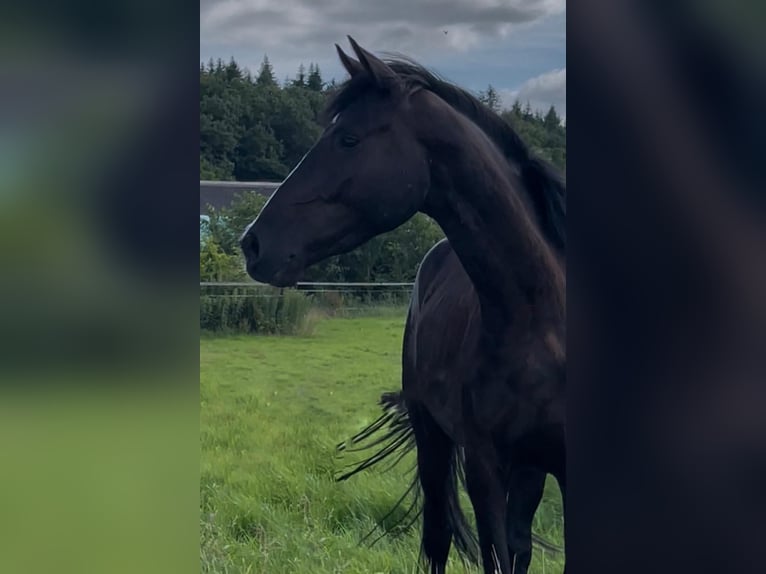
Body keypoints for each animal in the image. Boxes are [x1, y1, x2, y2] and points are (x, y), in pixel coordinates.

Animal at [241, 37, 566, 574]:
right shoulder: (485, 466)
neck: (544, 323)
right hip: (434, 439)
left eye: (348, 139)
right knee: (438, 538)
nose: (252, 244)